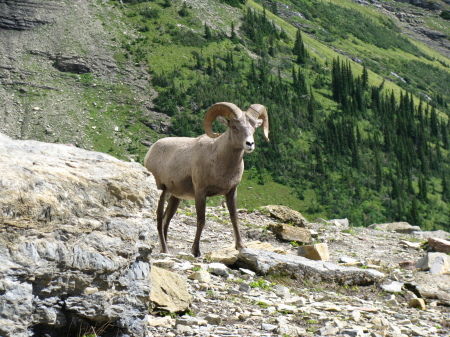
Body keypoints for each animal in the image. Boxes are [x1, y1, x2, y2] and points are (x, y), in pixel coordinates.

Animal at [146, 101, 268, 256]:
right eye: (234, 127)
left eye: (253, 128)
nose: (249, 144)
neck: (220, 160)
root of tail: (150, 151)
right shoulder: (200, 192)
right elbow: (201, 220)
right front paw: (196, 251)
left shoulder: (231, 192)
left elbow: (234, 218)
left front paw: (241, 246)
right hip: (161, 191)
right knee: (159, 219)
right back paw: (165, 249)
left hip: (175, 197)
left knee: (165, 221)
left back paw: (164, 249)